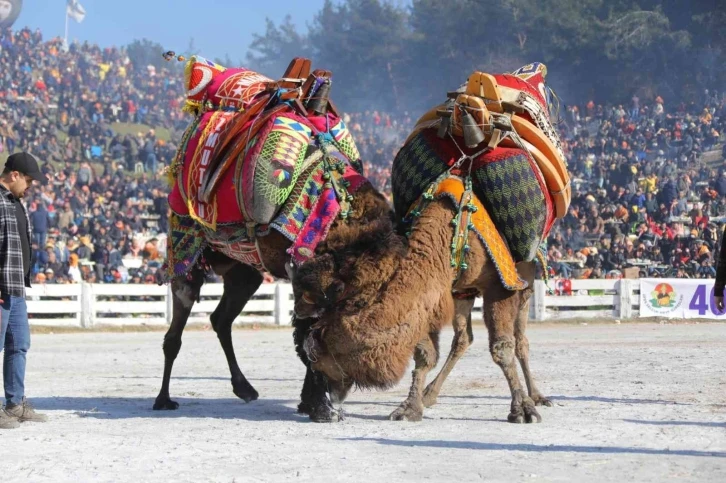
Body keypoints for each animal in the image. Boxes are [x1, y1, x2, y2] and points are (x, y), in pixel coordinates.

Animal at [292, 198, 556, 424]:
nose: (332, 404)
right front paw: (410, 407)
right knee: (463, 338)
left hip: (525, 283)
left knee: (520, 339)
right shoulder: (438, 296)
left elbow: (502, 348)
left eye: (324, 361)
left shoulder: (499, 286)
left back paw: (537, 396)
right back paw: (430, 394)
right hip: (463, 294)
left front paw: (522, 410)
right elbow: (426, 355)